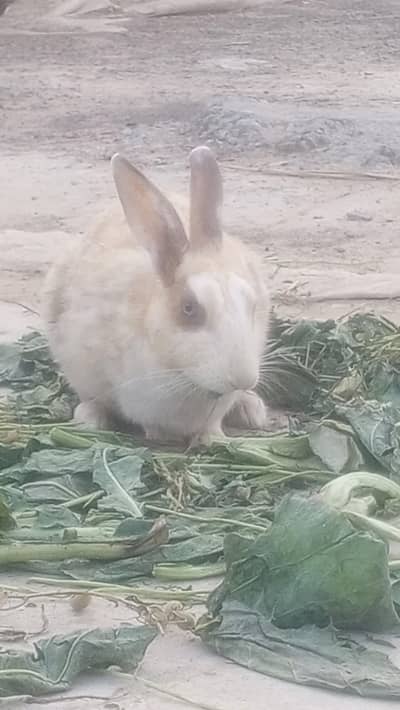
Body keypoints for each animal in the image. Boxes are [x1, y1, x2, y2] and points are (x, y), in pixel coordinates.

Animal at [42, 146, 271, 445]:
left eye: (252, 304)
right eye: (189, 308)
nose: (242, 378)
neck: (186, 377)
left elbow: (212, 424)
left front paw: (214, 439)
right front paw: (160, 436)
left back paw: (251, 408)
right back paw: (89, 419)